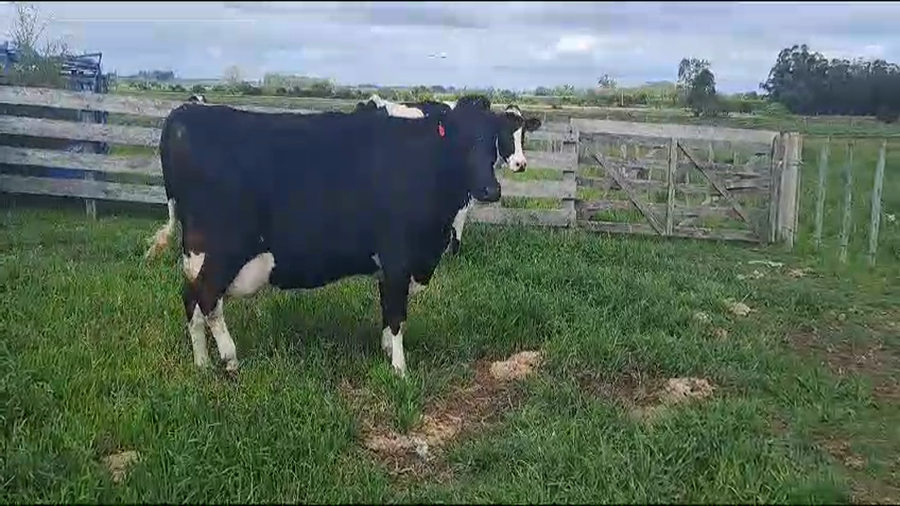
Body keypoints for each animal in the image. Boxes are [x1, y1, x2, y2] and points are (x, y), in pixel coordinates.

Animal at [144, 98, 511, 379]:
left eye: (494, 141)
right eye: (460, 141)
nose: (490, 189)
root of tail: (185, 113)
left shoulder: (388, 265)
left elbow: (385, 309)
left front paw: (385, 352)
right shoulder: (397, 256)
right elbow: (396, 315)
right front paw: (400, 368)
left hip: (195, 251)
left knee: (190, 298)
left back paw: (202, 363)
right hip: (224, 247)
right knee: (207, 297)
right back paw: (229, 357)